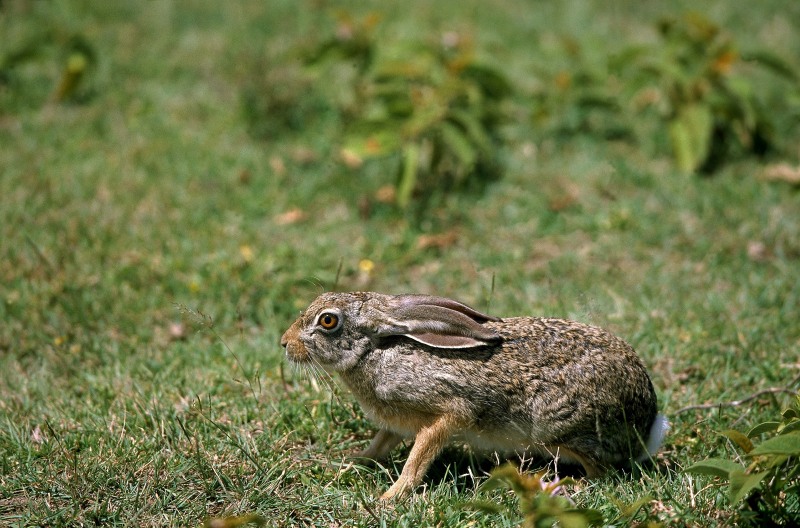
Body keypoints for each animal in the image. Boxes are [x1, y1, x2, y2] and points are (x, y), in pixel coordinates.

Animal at [281, 291, 668, 500]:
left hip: (558, 427)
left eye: (328, 321)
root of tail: (647, 425)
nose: (285, 343)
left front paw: (392, 495)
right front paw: (351, 463)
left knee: (602, 473)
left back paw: (558, 485)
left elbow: (419, 456)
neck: (374, 352)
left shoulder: (449, 409)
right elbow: (379, 444)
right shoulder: (394, 423)